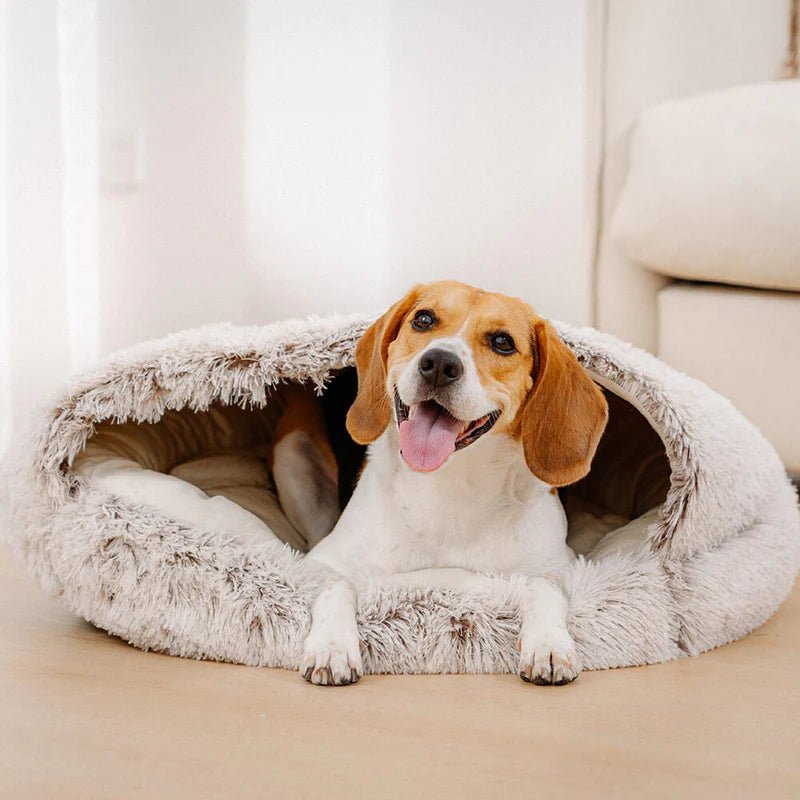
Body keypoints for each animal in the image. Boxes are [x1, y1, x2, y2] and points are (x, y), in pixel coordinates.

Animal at [288, 282, 608, 688]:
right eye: (424, 320)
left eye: (502, 342)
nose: (439, 363)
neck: (450, 484)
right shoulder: (321, 562)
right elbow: (337, 585)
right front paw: (332, 646)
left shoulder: (562, 566)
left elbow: (543, 586)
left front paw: (549, 643)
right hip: (295, 461)